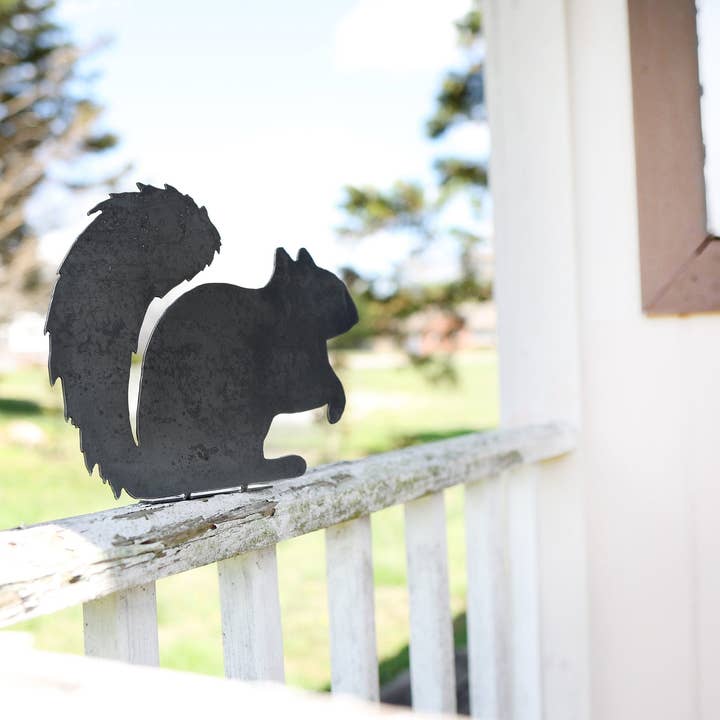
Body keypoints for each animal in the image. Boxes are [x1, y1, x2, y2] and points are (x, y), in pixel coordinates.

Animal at [46, 183, 358, 500]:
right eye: (332, 289)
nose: (355, 315)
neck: (289, 312)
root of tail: (154, 464)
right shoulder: (289, 362)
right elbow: (311, 391)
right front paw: (336, 407)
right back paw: (270, 468)